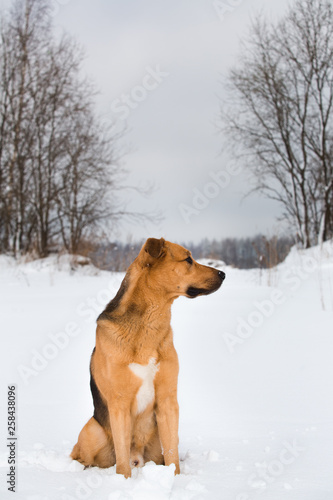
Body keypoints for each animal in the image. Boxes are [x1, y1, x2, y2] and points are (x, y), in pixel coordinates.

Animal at [71, 237, 224, 476]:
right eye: (188, 259)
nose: (223, 274)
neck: (148, 325)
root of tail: (139, 458)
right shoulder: (119, 404)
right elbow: (122, 461)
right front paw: (123, 481)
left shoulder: (168, 400)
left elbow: (172, 456)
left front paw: (174, 479)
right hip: (92, 430)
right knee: (81, 454)